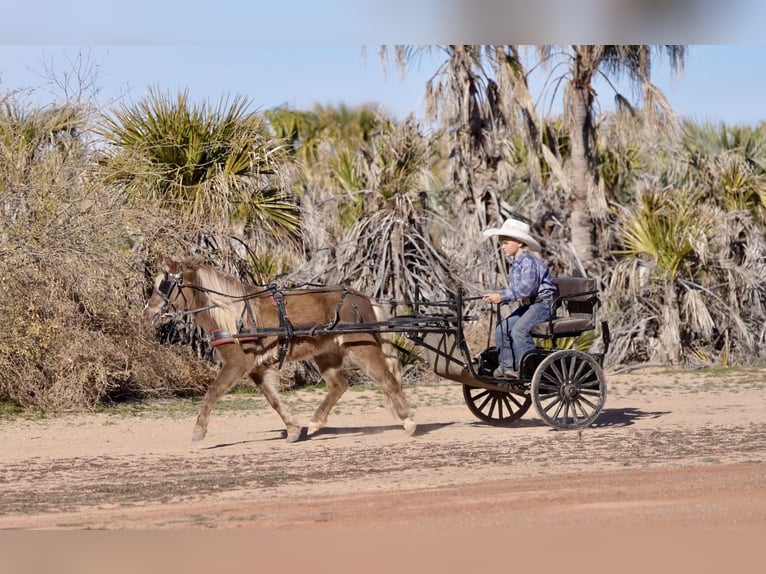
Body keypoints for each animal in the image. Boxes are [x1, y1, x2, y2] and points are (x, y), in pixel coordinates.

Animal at [142, 255, 417, 443]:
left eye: (164, 285)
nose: (148, 312)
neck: (233, 314)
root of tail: (363, 298)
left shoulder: (237, 364)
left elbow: (212, 392)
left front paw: (199, 430)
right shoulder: (255, 368)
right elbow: (272, 399)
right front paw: (293, 429)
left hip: (361, 346)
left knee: (386, 379)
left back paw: (408, 421)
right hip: (326, 353)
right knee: (339, 385)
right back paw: (315, 423)